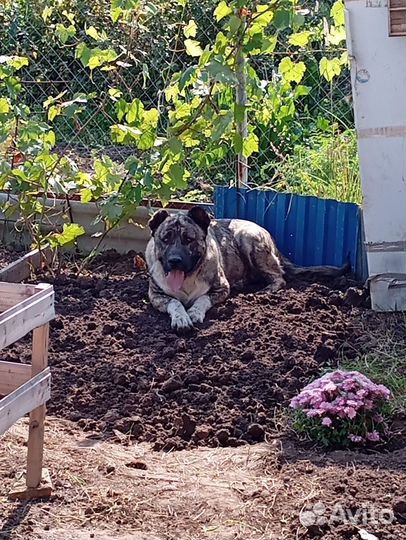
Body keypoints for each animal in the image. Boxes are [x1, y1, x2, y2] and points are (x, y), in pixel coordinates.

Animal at [144, 207, 348, 332]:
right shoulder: (156, 295)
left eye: (188, 239)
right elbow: (175, 303)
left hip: (248, 239)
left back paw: (265, 291)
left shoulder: (221, 288)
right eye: (165, 239)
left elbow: (202, 299)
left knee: (279, 277)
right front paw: (181, 318)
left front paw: (194, 312)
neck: (187, 278)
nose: (174, 261)